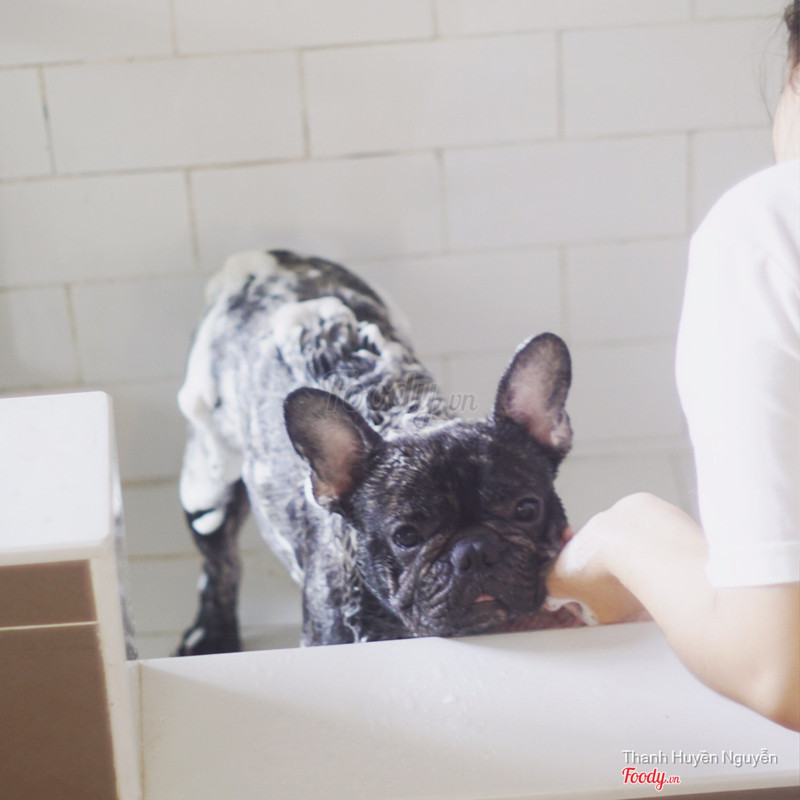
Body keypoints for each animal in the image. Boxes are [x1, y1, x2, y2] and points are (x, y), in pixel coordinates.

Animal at [175, 249, 575, 653]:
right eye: (406, 537)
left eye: (527, 510)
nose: (475, 550)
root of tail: (270, 259)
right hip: (207, 488)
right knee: (220, 563)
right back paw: (211, 634)